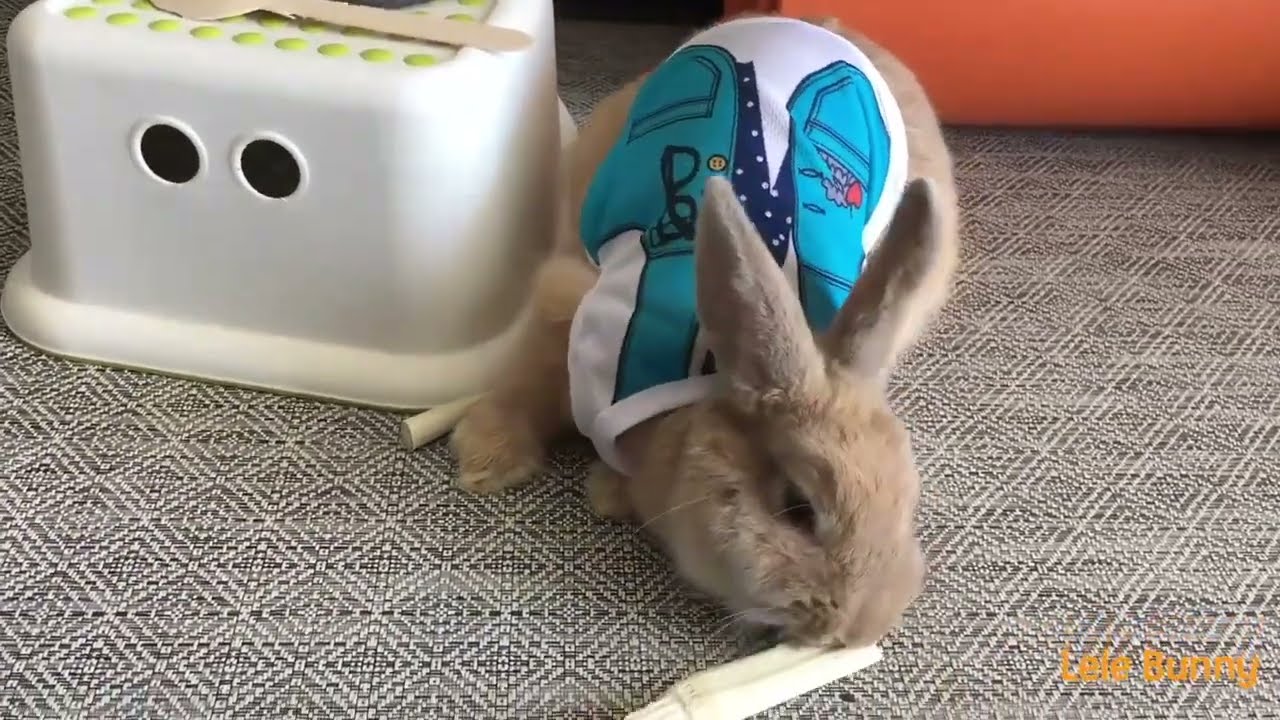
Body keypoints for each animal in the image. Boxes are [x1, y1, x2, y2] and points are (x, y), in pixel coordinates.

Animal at [449, 12, 960, 649]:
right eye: (797, 507)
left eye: (908, 506)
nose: (855, 629)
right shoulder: (567, 316)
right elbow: (527, 387)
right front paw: (485, 461)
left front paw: (607, 490)